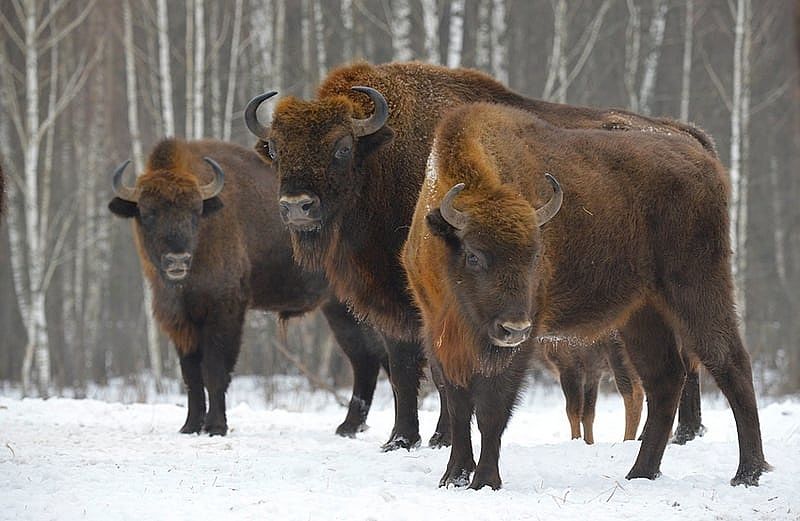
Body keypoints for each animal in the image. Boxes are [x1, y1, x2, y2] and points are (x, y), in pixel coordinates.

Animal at [108, 138, 390, 434]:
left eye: (196, 212)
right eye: (147, 213)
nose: (177, 259)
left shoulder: (225, 310)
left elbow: (215, 370)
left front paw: (216, 426)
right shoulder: (181, 320)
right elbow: (191, 375)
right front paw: (190, 426)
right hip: (339, 308)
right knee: (366, 356)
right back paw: (348, 427)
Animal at [245, 62, 712, 446]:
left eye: (341, 147)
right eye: (278, 149)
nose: (296, 206)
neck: (385, 156)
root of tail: (690, 138)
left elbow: (434, 372)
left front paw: (440, 438)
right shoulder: (400, 303)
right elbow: (402, 371)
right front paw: (400, 439)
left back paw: (682, 434)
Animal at [404, 100, 772, 488]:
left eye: (536, 254)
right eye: (474, 255)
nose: (513, 328)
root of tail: (705, 162)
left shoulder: (521, 342)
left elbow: (492, 409)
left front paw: (486, 480)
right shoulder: (440, 334)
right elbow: (458, 407)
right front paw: (454, 477)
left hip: (697, 288)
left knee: (730, 362)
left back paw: (747, 473)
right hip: (642, 313)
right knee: (665, 379)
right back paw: (641, 472)